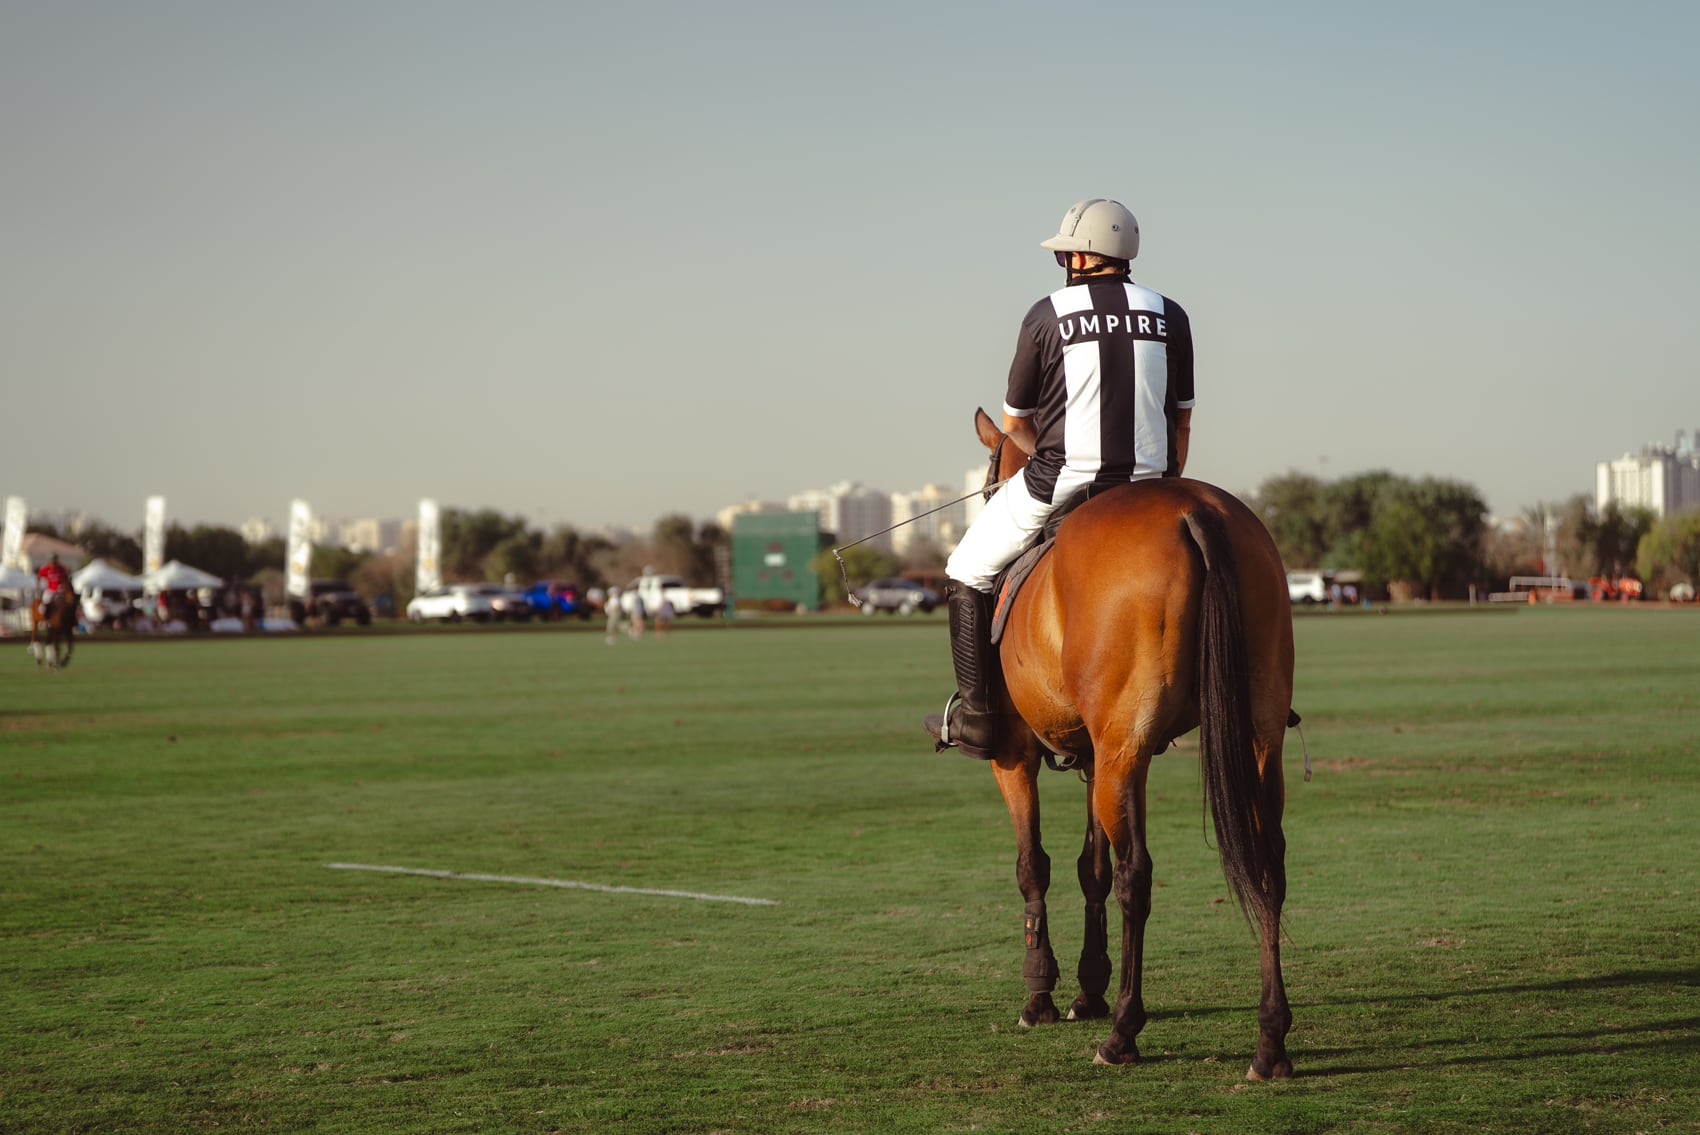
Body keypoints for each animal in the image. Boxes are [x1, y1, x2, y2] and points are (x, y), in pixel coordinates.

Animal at [965, 407, 1296, 1079]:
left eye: (988, 477)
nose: (987, 494)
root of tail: (1197, 512)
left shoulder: (1016, 755)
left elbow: (1034, 864)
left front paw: (1041, 994)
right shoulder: (1095, 755)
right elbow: (1087, 866)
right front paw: (1086, 989)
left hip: (1127, 749)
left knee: (1135, 875)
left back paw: (1123, 1032)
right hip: (1254, 735)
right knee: (1268, 860)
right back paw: (1270, 1042)